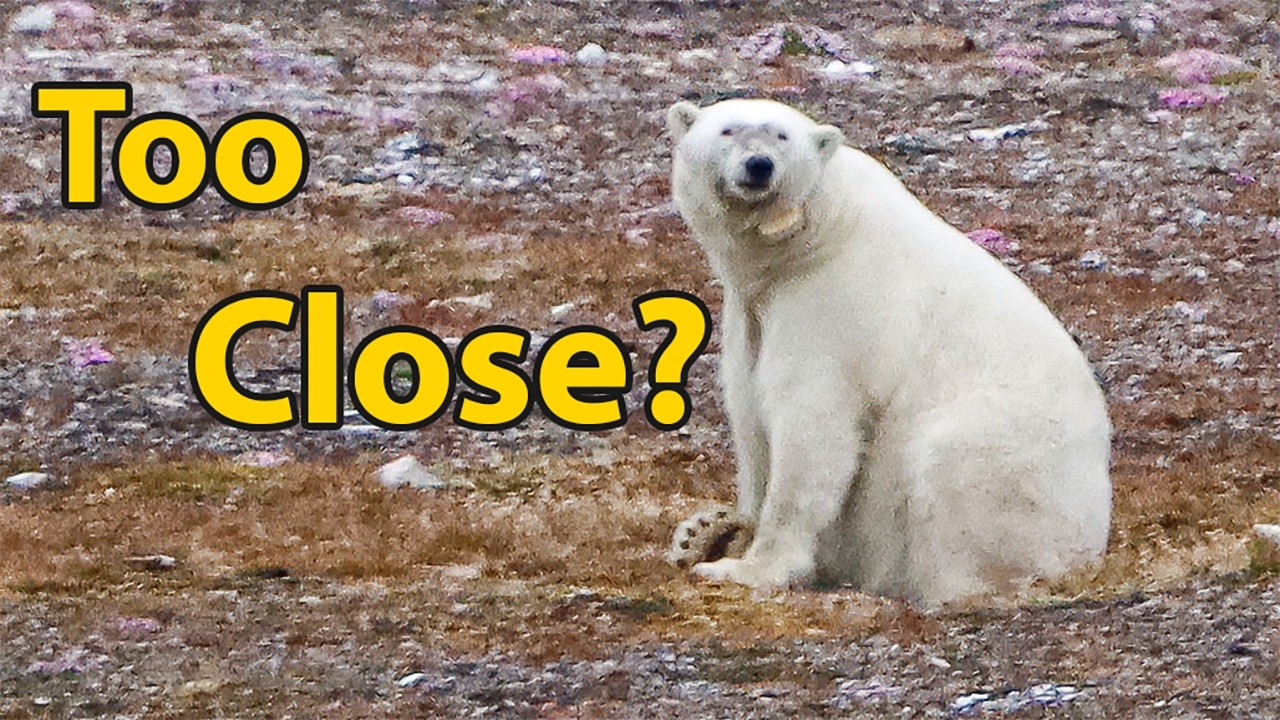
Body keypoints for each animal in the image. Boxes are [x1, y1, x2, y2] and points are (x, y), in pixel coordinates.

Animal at [665, 98, 1112, 608]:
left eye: (782, 136)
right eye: (728, 130)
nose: (759, 166)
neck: (811, 236)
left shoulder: (834, 305)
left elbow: (812, 427)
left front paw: (747, 567)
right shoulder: (753, 310)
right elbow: (750, 413)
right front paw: (718, 532)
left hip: (1014, 459)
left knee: (951, 465)